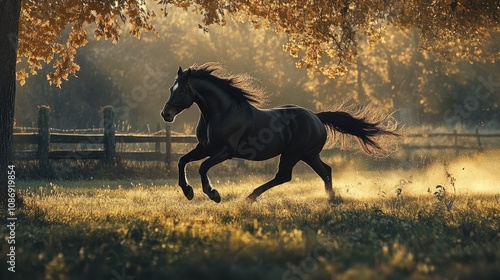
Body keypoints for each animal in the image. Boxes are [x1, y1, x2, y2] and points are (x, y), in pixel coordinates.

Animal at [162, 62, 400, 202]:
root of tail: (316, 117)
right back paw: (330, 198)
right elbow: (182, 161)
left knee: (284, 176)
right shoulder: (204, 147)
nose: (166, 114)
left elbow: (202, 167)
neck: (221, 112)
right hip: (308, 155)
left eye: (181, 91)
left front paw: (213, 194)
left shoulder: (225, 151)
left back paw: (250, 196)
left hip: (293, 154)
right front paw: (188, 191)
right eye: (171, 88)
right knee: (325, 171)